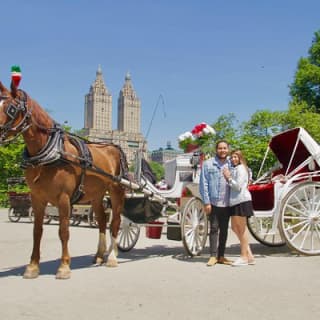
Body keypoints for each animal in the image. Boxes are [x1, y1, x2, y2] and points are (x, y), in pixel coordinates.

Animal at [0, 79, 127, 278]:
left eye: (11, 108)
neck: (49, 152)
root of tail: (114, 146)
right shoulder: (37, 197)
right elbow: (37, 231)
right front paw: (32, 266)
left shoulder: (64, 198)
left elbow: (64, 231)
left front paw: (64, 266)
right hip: (96, 194)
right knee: (101, 221)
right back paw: (99, 255)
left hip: (116, 190)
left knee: (115, 223)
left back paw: (112, 257)